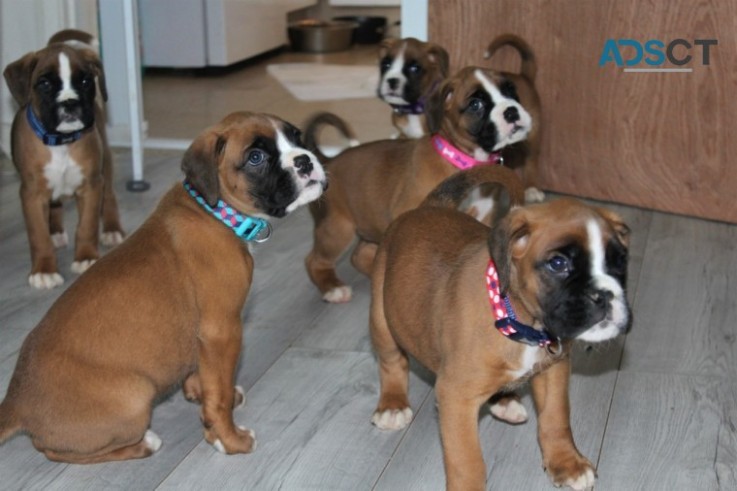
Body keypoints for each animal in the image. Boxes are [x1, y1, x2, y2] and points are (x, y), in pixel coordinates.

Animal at [0, 111, 324, 466]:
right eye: (256, 157)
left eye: (296, 137)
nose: (305, 160)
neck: (214, 212)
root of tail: (16, 403)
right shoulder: (223, 331)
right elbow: (220, 394)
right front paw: (228, 438)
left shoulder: (206, 339)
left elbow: (205, 376)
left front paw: (198, 393)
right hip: (134, 395)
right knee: (54, 451)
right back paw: (144, 444)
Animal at [4, 30, 124, 290]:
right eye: (45, 84)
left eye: (86, 82)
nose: (70, 103)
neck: (61, 143)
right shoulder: (32, 194)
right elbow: (38, 236)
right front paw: (44, 270)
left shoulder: (91, 186)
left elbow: (87, 226)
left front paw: (86, 257)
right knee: (55, 206)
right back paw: (56, 232)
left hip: (105, 166)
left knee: (109, 195)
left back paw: (112, 230)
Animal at [304, 65, 536, 304]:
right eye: (475, 104)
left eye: (510, 90)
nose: (512, 111)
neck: (460, 158)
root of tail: (327, 160)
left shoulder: (483, 215)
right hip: (337, 228)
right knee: (314, 260)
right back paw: (333, 288)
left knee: (360, 255)